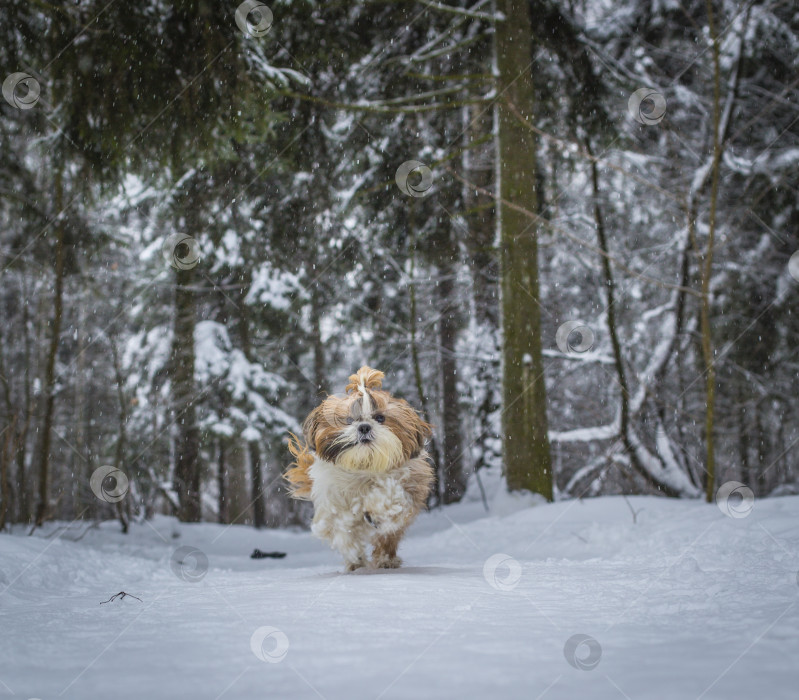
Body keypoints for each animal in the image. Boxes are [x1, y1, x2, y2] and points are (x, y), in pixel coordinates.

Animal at [288, 366, 434, 568]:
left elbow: (390, 496)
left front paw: (376, 507)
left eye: (380, 418)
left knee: (387, 537)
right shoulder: (331, 502)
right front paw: (354, 556)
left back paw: (386, 559)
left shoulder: (408, 485)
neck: (364, 466)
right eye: (349, 420)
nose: (364, 427)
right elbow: (342, 527)